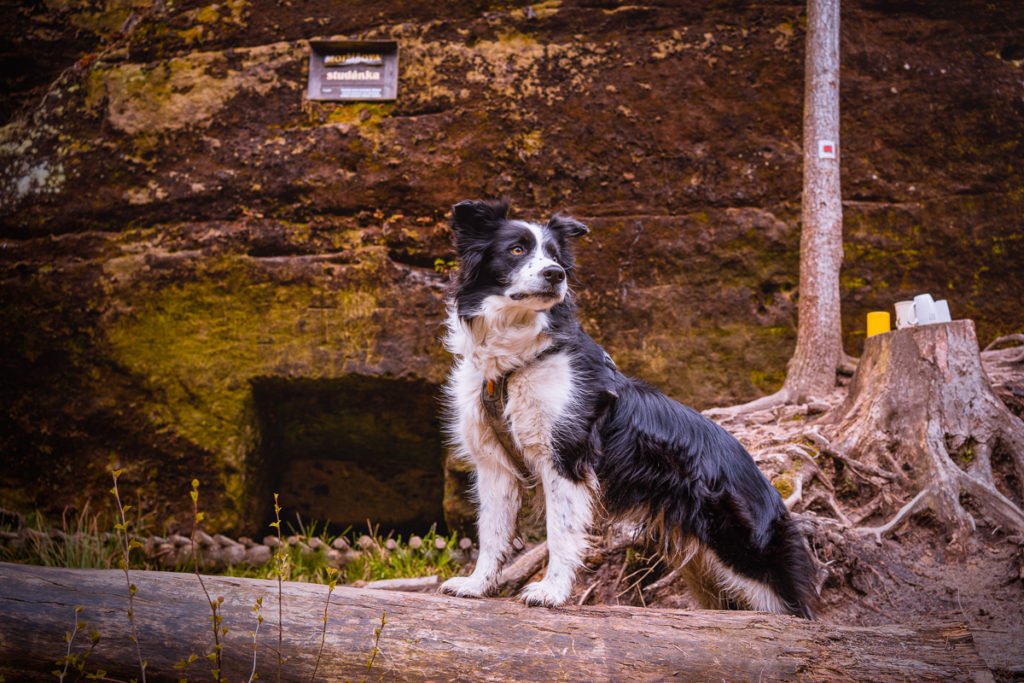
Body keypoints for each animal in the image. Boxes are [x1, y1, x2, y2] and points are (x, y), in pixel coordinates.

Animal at [440, 198, 815, 618]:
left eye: (555, 256)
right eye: (517, 249)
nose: (556, 275)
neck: (513, 363)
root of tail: (766, 484)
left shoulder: (567, 458)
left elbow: (560, 532)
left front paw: (551, 592)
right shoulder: (495, 464)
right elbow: (491, 531)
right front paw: (476, 585)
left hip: (744, 549)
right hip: (706, 566)